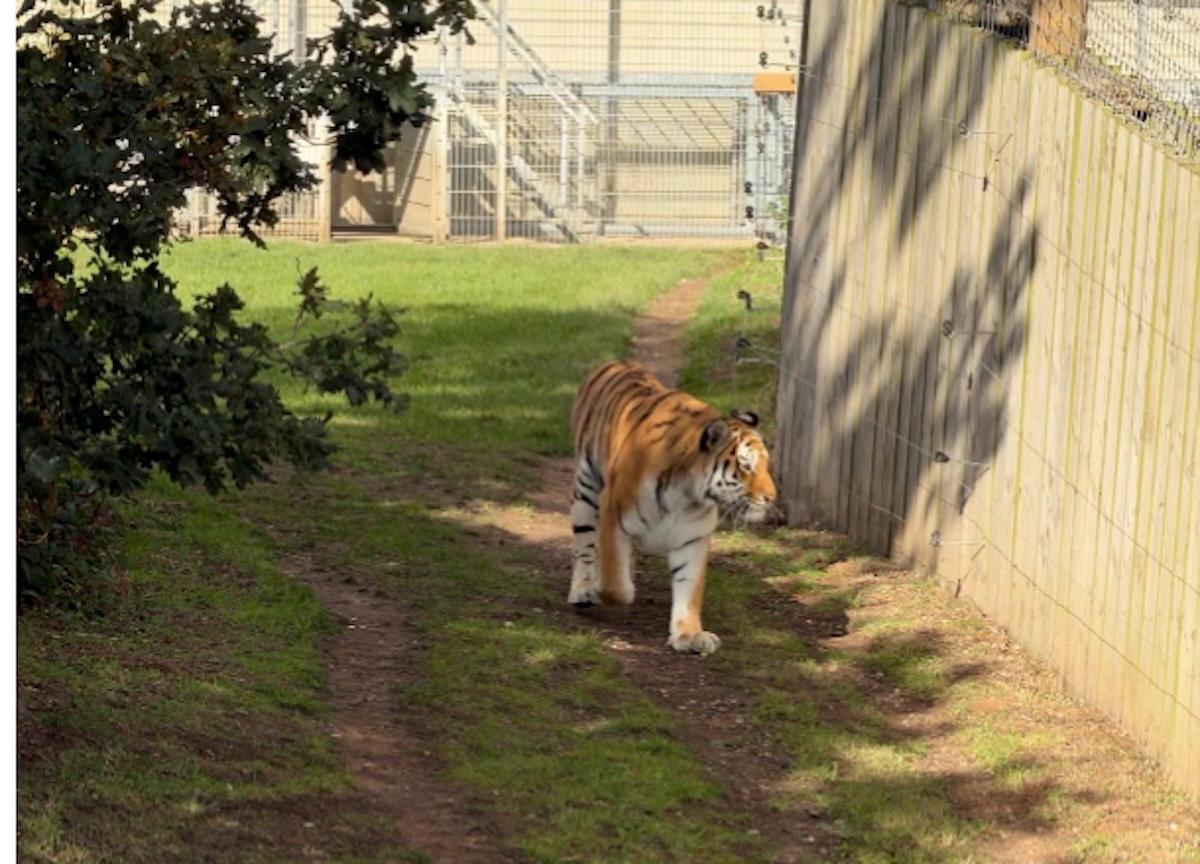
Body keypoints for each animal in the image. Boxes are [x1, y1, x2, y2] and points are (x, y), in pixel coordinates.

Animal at [567, 360, 777, 656]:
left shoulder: (692, 538)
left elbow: (689, 589)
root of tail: (615, 362)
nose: (771, 497)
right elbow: (615, 586)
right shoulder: (613, 515)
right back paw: (583, 589)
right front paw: (601, 589)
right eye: (746, 465)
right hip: (586, 491)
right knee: (585, 546)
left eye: (765, 463)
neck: (686, 491)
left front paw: (689, 635)